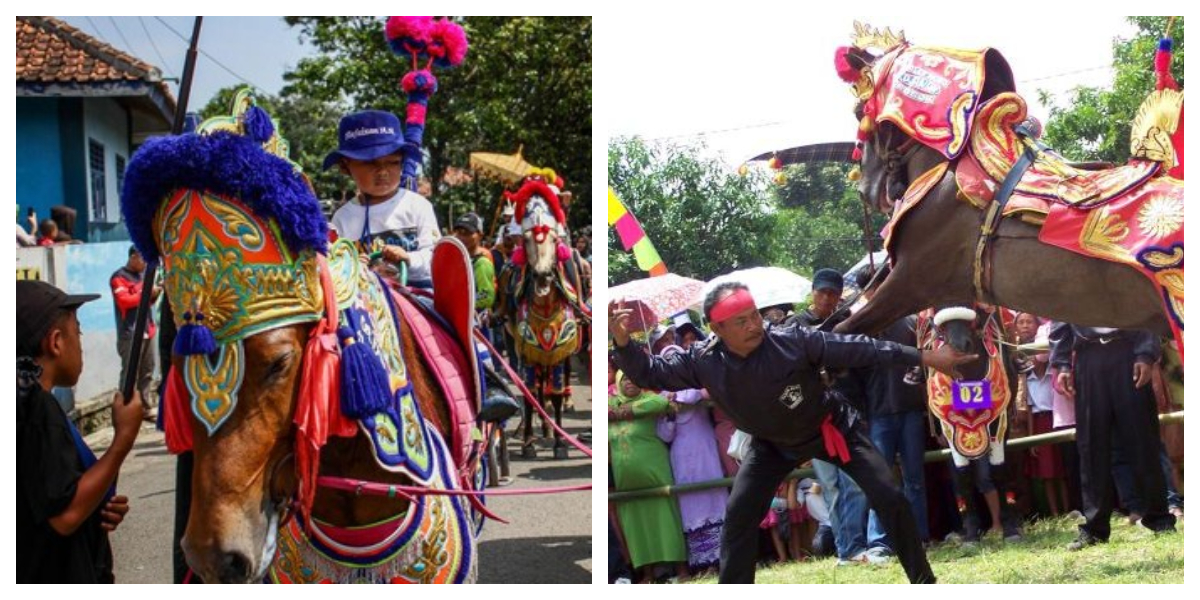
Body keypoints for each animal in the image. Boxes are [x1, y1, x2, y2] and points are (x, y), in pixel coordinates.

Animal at [496, 172, 590, 458]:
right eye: (526, 239)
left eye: (554, 240)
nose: (543, 276)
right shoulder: (527, 348)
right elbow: (529, 393)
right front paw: (528, 442)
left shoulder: (561, 347)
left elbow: (556, 393)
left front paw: (560, 444)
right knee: (538, 387)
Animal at [830, 22, 1185, 355]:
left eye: (859, 112)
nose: (867, 189)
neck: (949, 175)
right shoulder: (952, 291)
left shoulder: (910, 281)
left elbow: (843, 331)